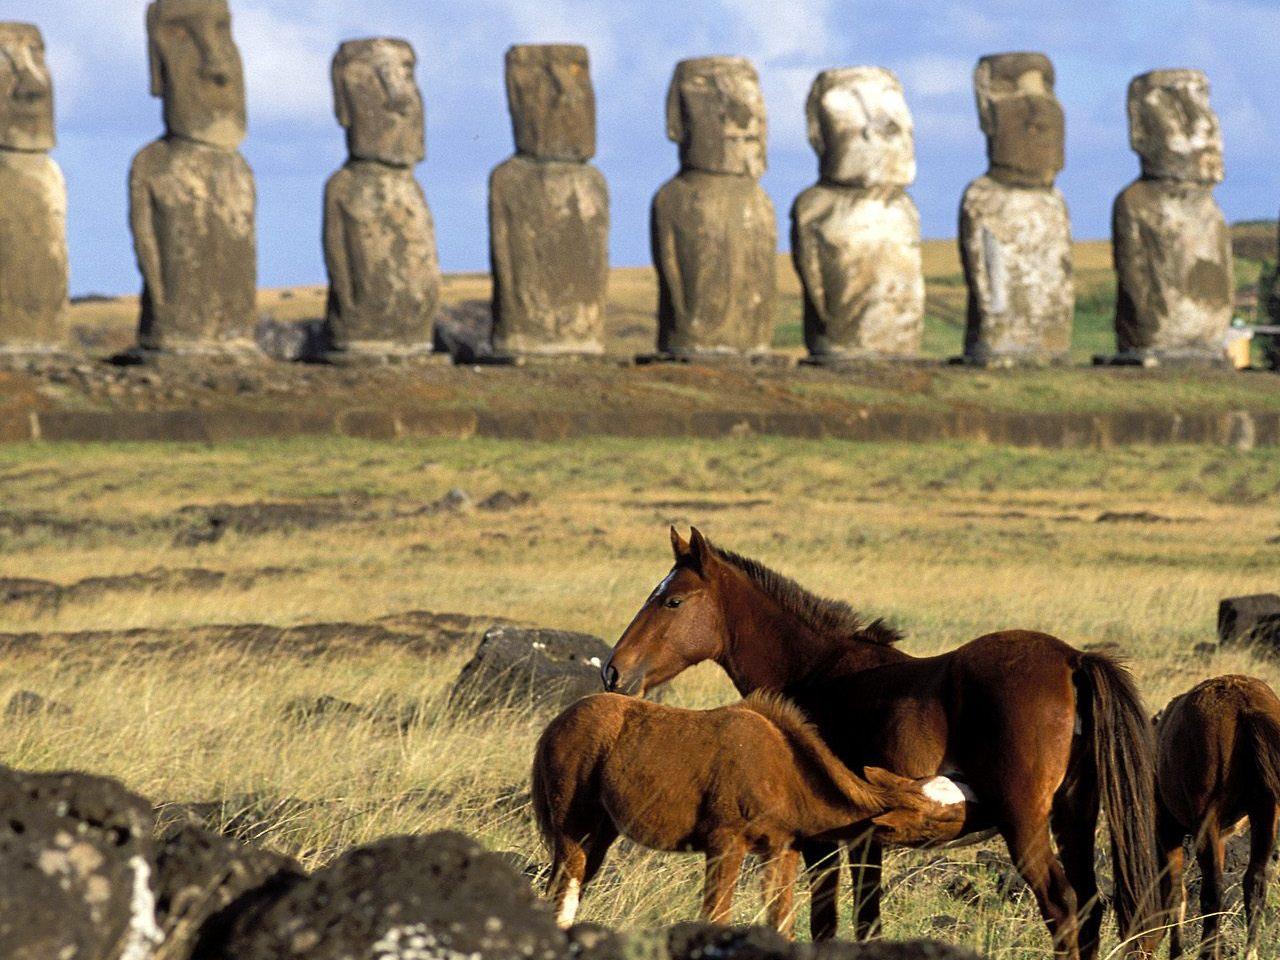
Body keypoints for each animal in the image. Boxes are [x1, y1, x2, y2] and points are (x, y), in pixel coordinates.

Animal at [532, 696, 967, 936]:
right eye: (940, 819)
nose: (979, 821)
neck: (784, 773)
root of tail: (553, 726)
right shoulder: (724, 844)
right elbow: (716, 915)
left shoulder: (781, 850)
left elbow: (781, 920)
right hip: (572, 827)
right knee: (564, 891)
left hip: (601, 832)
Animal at [599, 529, 1162, 957]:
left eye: (672, 600)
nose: (613, 671)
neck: (814, 672)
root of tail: (1072, 660)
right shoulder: (865, 841)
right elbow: (867, 921)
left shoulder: (822, 843)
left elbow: (826, 922)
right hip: (1074, 816)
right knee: (1089, 906)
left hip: (1024, 824)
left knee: (1062, 907)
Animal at [1152, 675, 1280, 960]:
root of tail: (1244, 704)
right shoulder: (1220, 836)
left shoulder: (1169, 831)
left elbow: (1177, 894)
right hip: (1266, 812)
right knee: (1255, 882)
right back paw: (1249, 953)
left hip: (1206, 818)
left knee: (1214, 891)